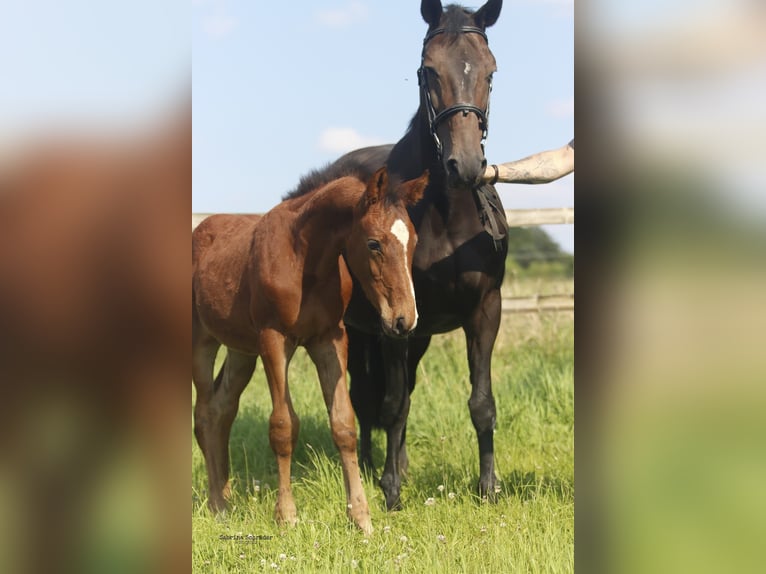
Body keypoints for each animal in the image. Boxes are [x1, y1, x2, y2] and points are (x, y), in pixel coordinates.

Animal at [191, 166, 428, 536]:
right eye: (374, 243)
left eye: (413, 242)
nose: (404, 320)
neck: (305, 260)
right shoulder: (274, 340)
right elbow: (283, 426)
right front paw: (286, 516)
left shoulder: (329, 339)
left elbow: (344, 424)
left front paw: (361, 517)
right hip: (201, 340)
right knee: (202, 414)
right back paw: (217, 504)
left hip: (241, 351)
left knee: (221, 410)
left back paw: (225, 496)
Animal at [286, 1, 504, 512]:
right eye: (428, 70)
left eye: (490, 71)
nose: (465, 166)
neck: (446, 214)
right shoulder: (393, 323)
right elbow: (393, 405)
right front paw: (389, 491)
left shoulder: (484, 310)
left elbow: (481, 403)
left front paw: (488, 487)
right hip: (361, 330)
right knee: (369, 397)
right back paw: (369, 465)